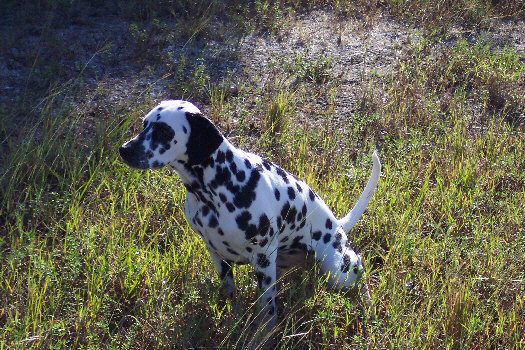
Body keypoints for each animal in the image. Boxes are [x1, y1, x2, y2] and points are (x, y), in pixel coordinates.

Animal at [119, 99, 380, 328]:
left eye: (163, 131)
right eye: (144, 124)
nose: (124, 150)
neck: (216, 189)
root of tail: (338, 227)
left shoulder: (264, 259)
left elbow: (267, 308)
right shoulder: (216, 254)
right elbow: (229, 292)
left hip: (336, 269)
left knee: (359, 266)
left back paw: (367, 304)